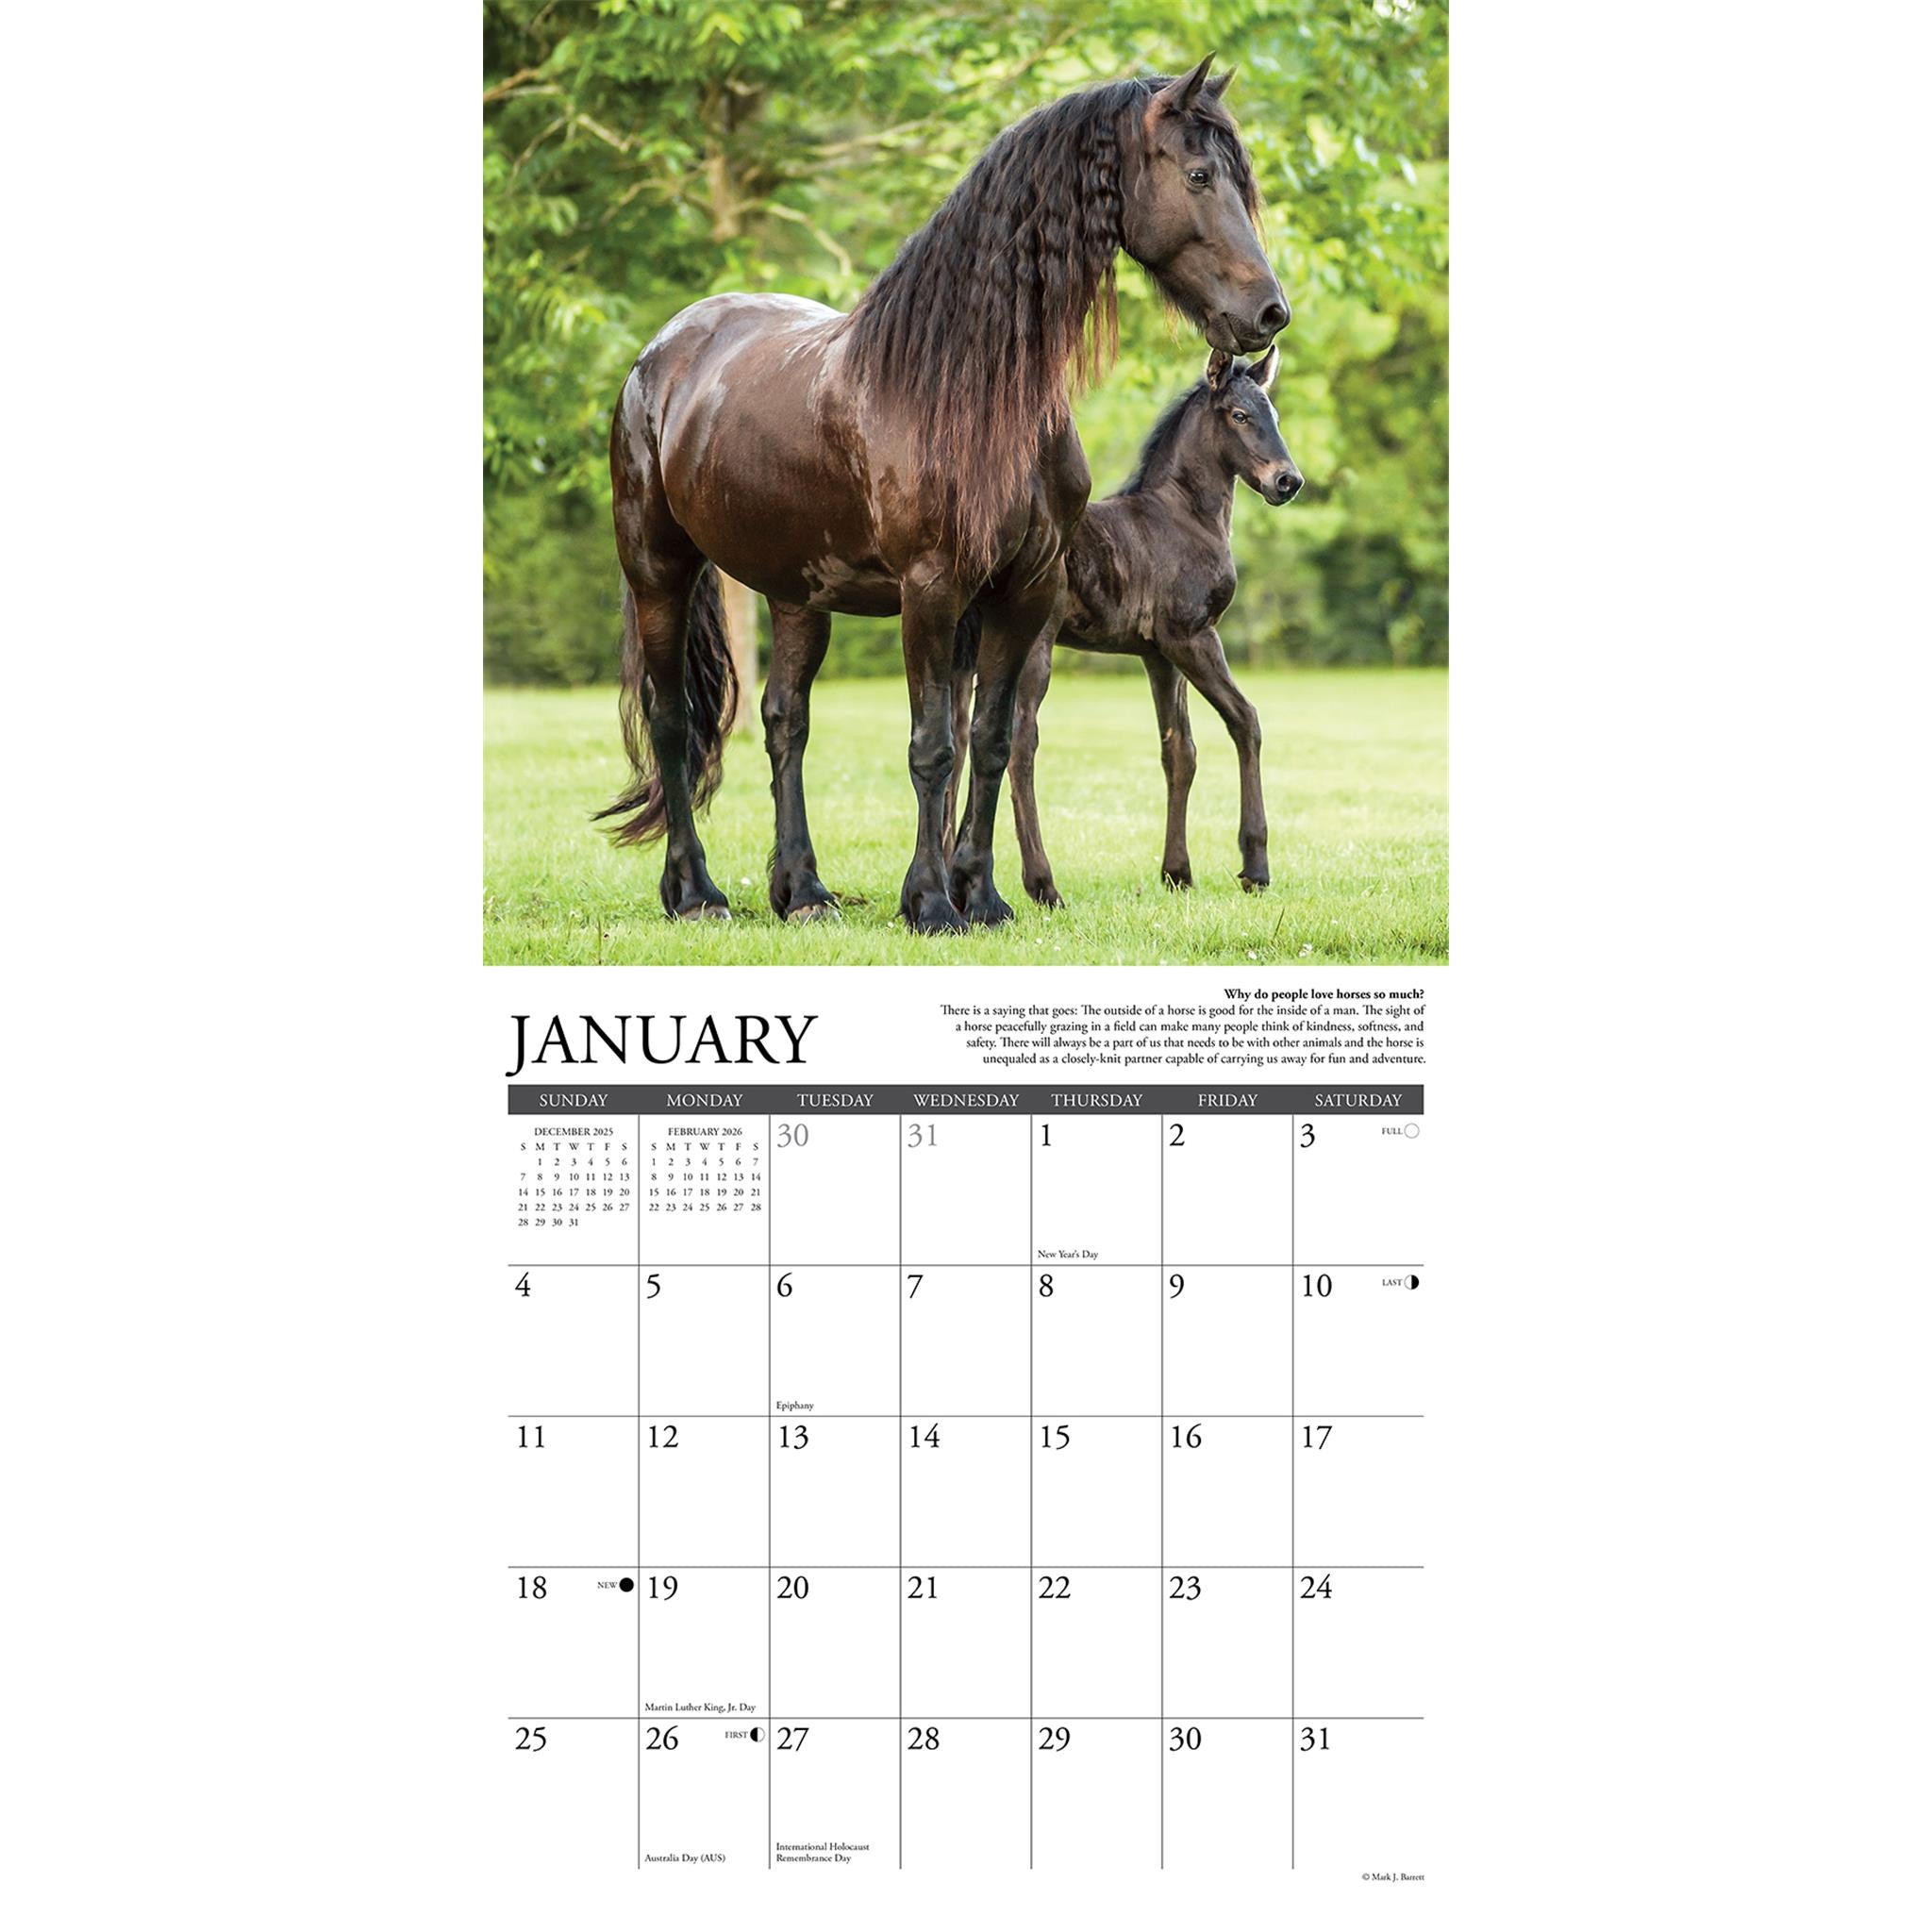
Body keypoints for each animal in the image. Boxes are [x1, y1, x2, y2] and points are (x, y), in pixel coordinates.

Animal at [947, 345, 1300, 903]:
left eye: (1276, 416)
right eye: (1240, 416)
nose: (1288, 481)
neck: (1184, 517)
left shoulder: (1159, 655)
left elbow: (1179, 751)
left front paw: (1177, 872)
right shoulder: (1192, 636)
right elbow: (1245, 720)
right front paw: (1255, 866)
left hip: (971, 649)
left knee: (961, 738)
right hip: (1035, 644)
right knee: (1020, 742)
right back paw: (1042, 883)